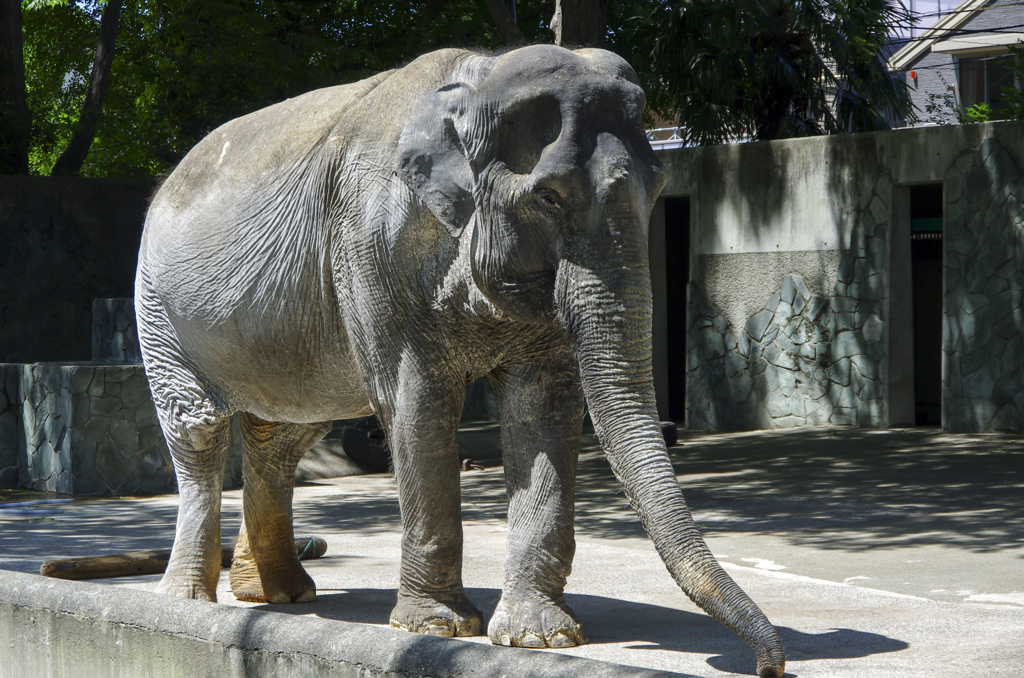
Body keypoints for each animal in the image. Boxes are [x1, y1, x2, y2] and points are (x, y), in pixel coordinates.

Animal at [136, 43, 786, 678]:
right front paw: (437, 629)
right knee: (198, 431)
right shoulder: (372, 247)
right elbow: (417, 401)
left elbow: (542, 407)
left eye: (659, 190)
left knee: (285, 433)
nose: (768, 668)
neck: (477, 84)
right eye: (548, 197)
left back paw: (278, 596)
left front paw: (540, 637)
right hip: (159, 308)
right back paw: (189, 601)